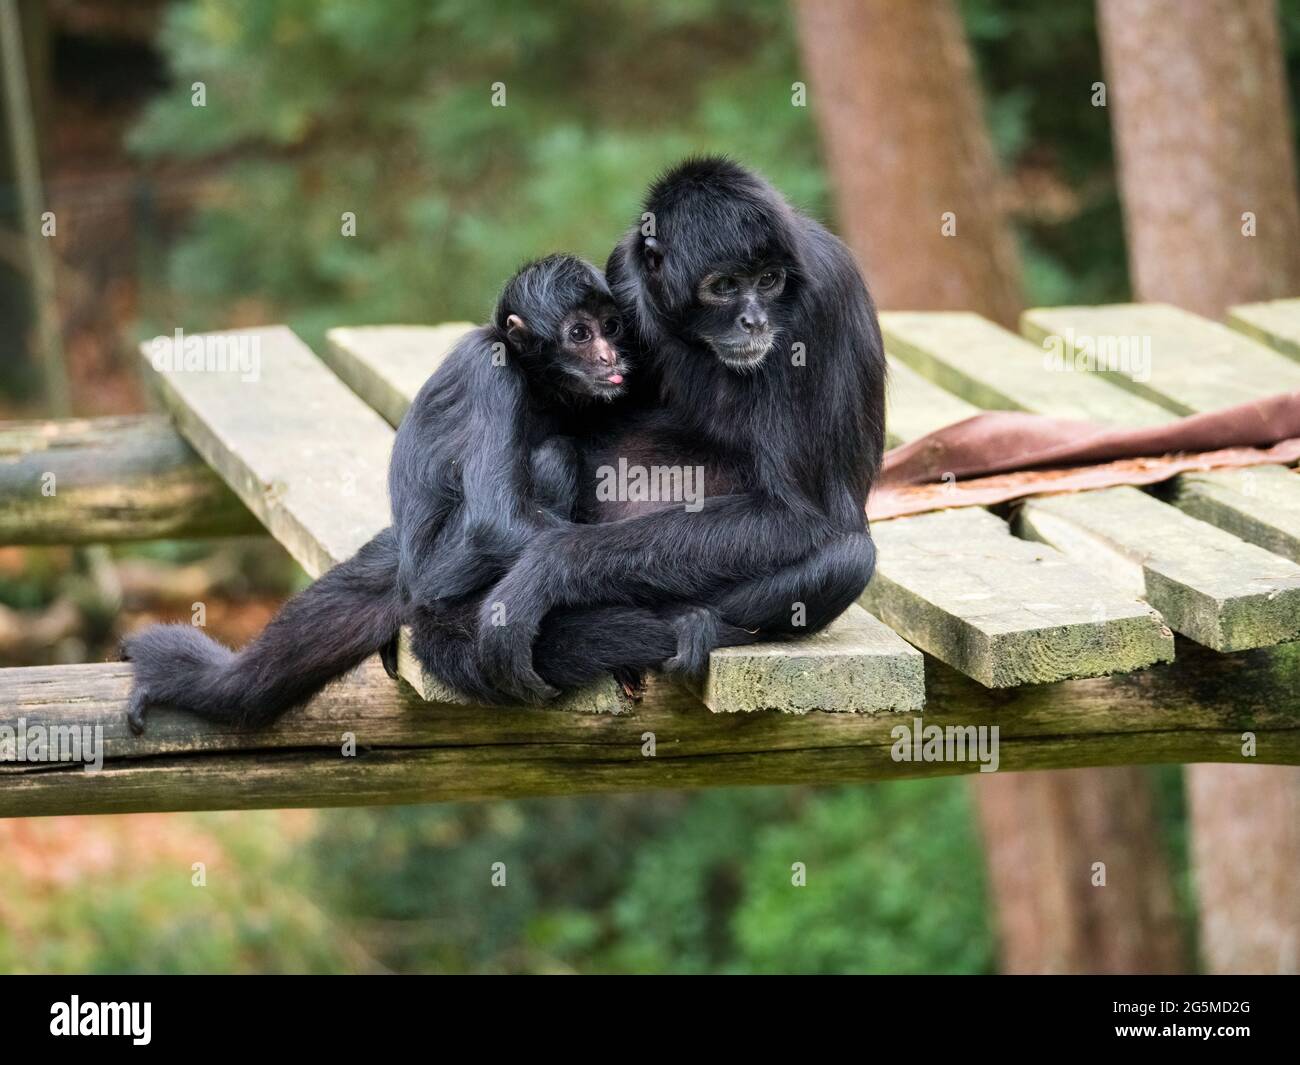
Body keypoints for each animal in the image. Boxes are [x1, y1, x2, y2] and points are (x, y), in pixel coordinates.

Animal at [483, 157, 889, 702]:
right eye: (724, 287)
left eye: (769, 280)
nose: (754, 321)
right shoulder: (623, 269)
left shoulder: (817, 305)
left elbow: (798, 516)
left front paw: (548, 567)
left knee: (849, 555)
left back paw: (684, 620)